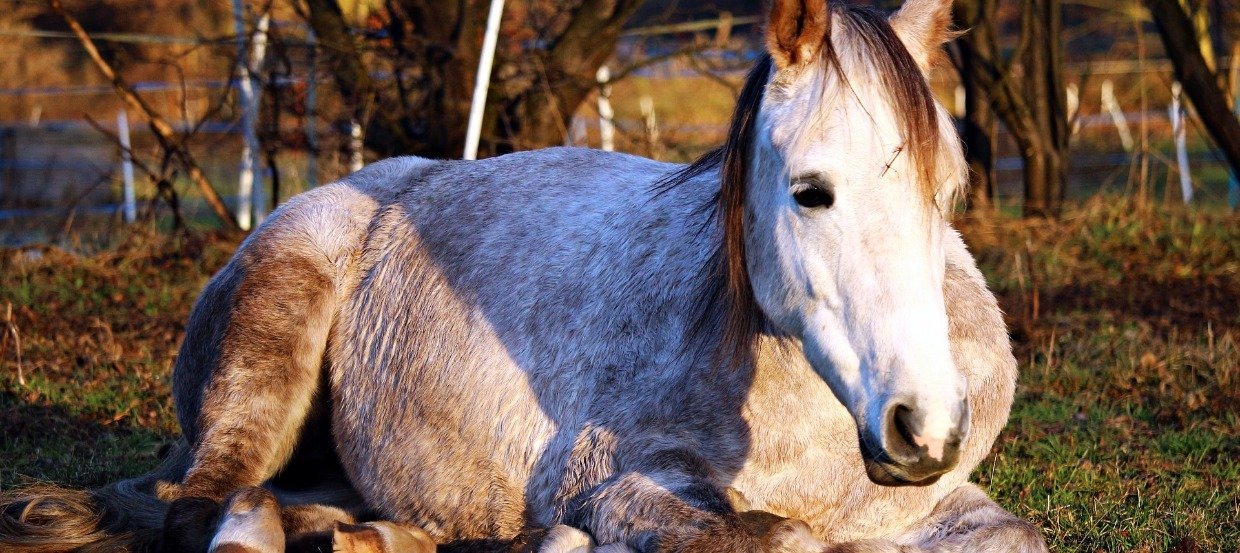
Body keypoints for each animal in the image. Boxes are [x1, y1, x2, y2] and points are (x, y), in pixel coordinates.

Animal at [2, 0, 1046, 550]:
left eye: (948, 191)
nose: (922, 425)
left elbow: (1017, 535)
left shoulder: (931, 505)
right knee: (207, 500)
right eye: (811, 191)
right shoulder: (609, 481)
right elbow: (777, 534)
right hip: (268, 348)